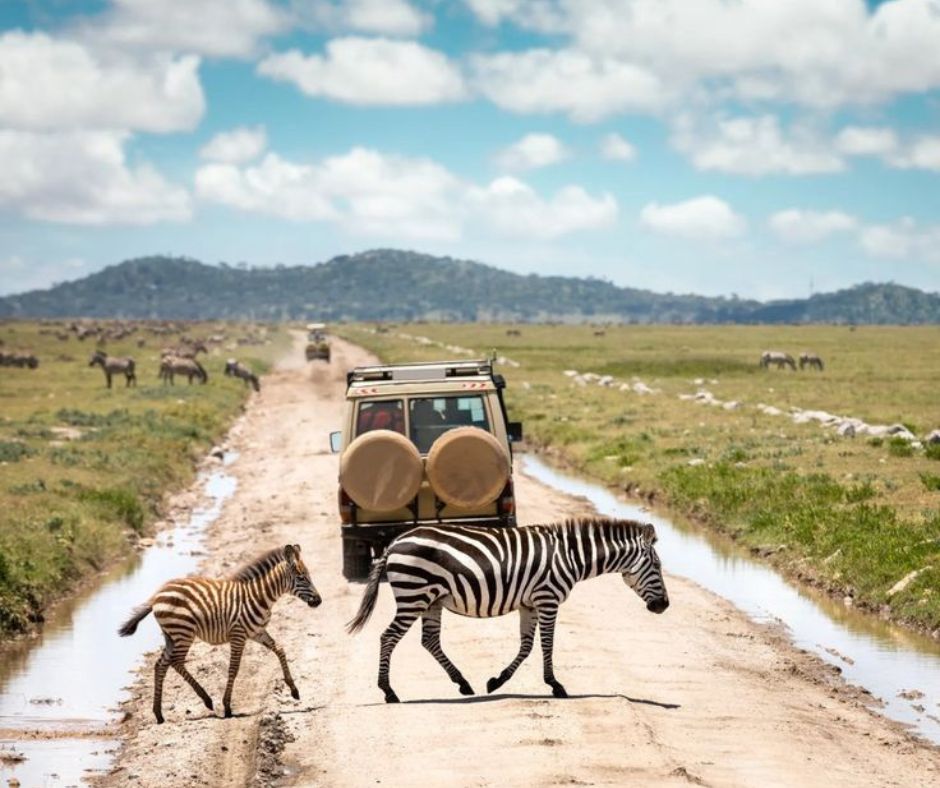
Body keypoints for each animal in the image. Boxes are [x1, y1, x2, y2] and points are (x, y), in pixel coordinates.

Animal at [117, 544, 322, 724]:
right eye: (301, 578)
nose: (319, 601)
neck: (260, 597)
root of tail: (157, 595)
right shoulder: (238, 635)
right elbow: (234, 669)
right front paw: (227, 707)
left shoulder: (257, 632)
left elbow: (280, 649)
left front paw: (294, 689)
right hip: (183, 632)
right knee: (176, 662)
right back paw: (206, 700)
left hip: (171, 636)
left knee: (161, 665)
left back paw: (159, 714)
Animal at [350, 516, 668, 700]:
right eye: (656, 565)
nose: (664, 606)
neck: (570, 557)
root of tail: (394, 543)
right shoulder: (547, 598)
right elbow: (547, 644)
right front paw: (556, 685)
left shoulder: (529, 604)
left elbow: (526, 646)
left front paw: (497, 681)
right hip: (413, 595)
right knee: (388, 637)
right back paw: (389, 692)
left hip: (431, 599)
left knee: (429, 640)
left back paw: (463, 684)